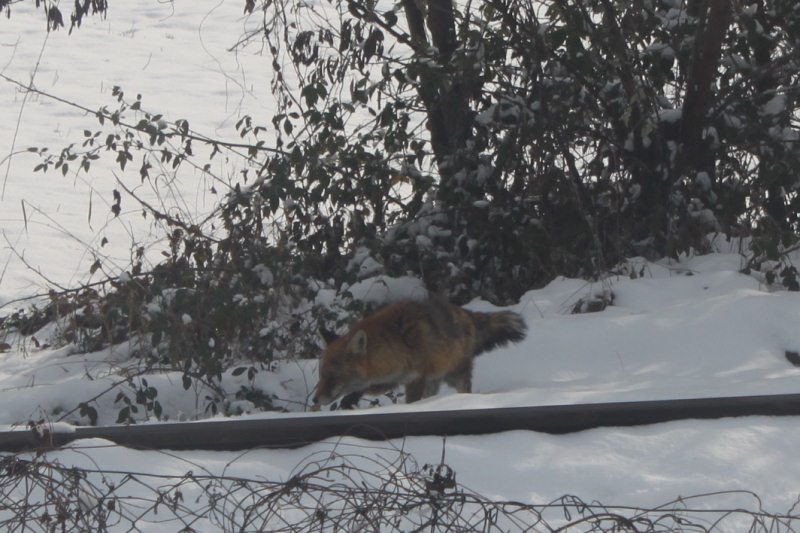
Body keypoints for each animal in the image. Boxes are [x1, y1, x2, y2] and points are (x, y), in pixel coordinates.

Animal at [310, 298, 524, 410]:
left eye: (333, 377)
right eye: (321, 375)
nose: (314, 400)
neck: (398, 344)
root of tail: (467, 313)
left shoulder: (415, 378)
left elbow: (411, 402)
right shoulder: (390, 378)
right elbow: (365, 387)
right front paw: (350, 400)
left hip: (455, 376)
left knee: (466, 390)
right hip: (434, 382)